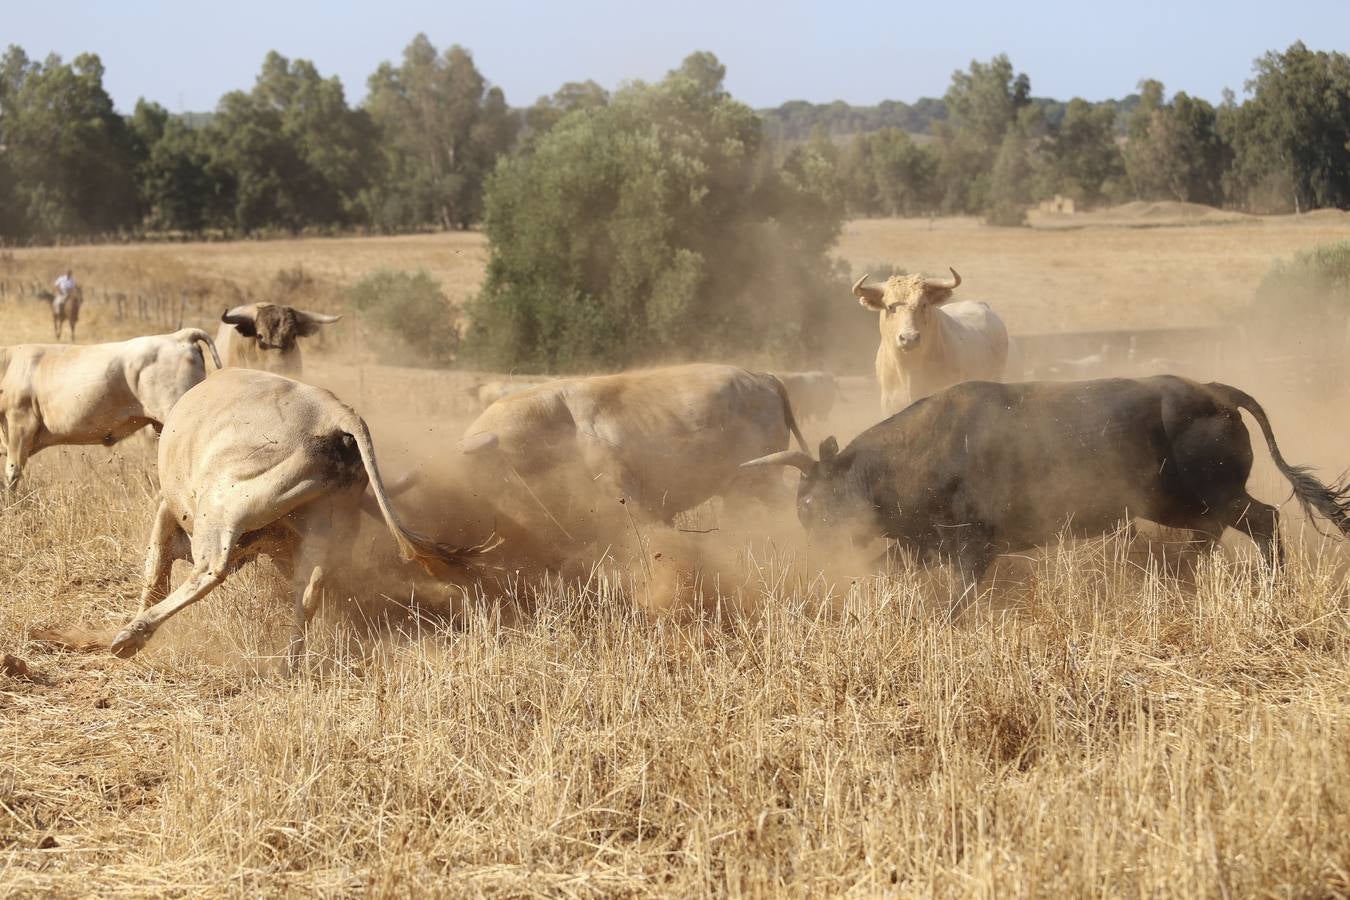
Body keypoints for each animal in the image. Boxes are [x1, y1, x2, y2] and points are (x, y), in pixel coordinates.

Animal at [106, 367, 496, 661]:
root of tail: (336, 414)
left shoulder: (169, 512)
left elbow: (155, 572)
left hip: (222, 504)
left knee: (210, 570)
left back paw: (130, 636)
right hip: (329, 526)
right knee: (309, 592)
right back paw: (289, 663)